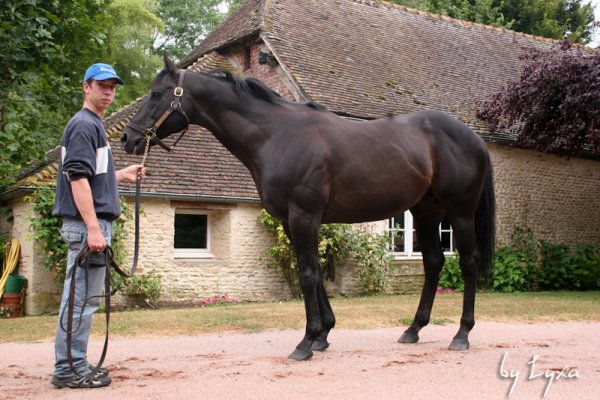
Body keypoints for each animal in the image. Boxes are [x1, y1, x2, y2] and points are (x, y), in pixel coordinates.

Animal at [119, 57, 494, 362]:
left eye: (158, 93)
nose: (128, 139)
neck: (276, 135)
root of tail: (473, 137)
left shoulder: (304, 216)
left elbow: (308, 274)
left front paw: (306, 342)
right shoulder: (292, 220)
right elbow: (313, 271)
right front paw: (323, 334)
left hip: (459, 213)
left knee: (468, 262)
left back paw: (462, 334)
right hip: (426, 213)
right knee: (433, 263)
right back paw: (413, 329)